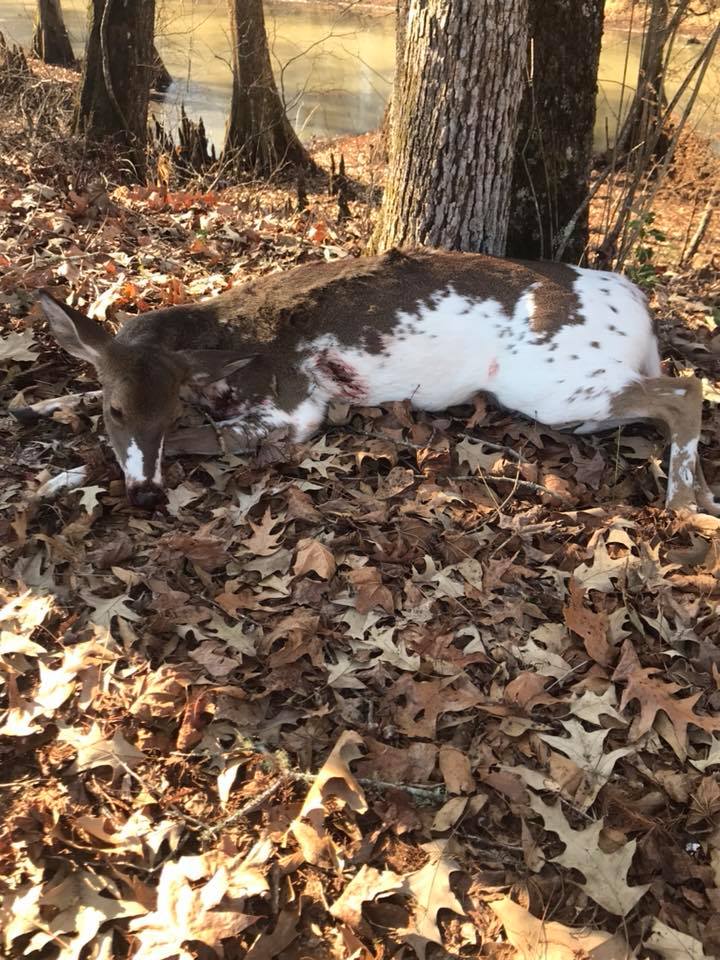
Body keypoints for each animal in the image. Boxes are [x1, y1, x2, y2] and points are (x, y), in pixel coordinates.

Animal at [18, 248, 717, 514]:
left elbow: (208, 437)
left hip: (556, 384)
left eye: (160, 416)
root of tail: (640, 307)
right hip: (582, 394)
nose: (145, 495)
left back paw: (682, 503)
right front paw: (41, 408)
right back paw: (703, 497)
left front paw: (66, 474)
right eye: (115, 409)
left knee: (688, 391)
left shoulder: (292, 408)